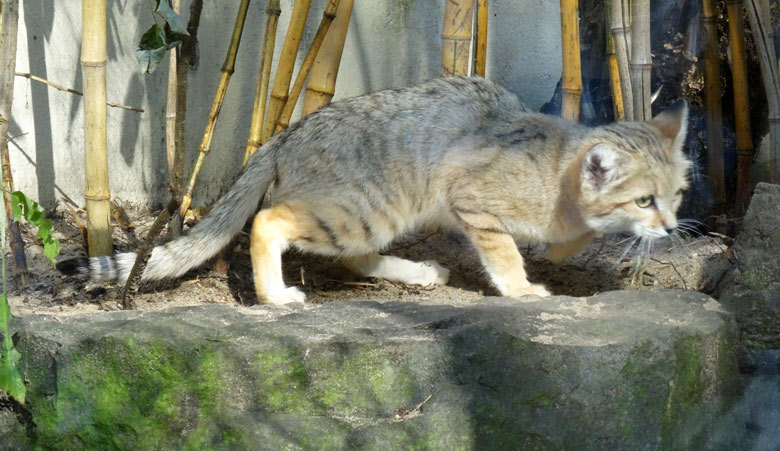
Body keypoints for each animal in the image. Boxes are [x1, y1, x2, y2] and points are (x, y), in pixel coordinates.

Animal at [56, 76, 688, 306]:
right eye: (644, 200)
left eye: (678, 194)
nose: (672, 226)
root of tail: (285, 134)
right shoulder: (474, 203)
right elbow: (506, 252)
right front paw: (523, 289)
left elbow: (571, 237)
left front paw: (567, 244)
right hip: (365, 210)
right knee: (268, 222)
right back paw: (275, 296)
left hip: (370, 218)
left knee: (357, 259)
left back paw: (420, 273)